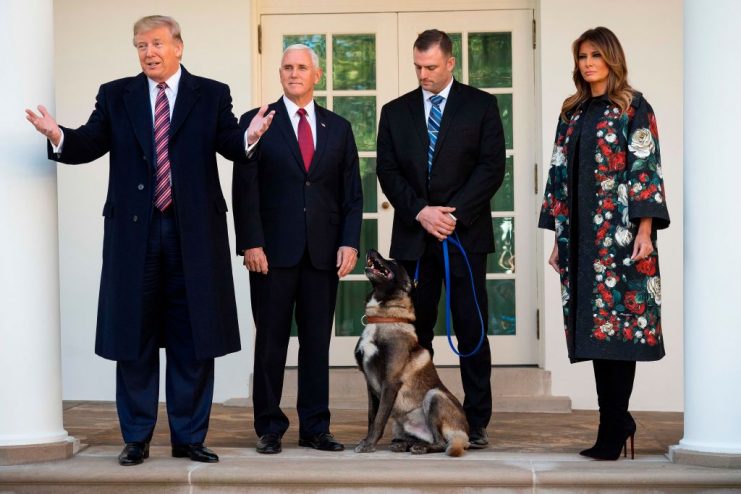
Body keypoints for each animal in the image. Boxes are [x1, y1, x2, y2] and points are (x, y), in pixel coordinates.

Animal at [354, 249, 468, 458]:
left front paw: (368, 444)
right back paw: (404, 444)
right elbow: (372, 417)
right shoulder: (370, 384)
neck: (383, 319)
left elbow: (379, 419)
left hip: (434, 396)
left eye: (393, 262)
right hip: (400, 424)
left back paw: (421, 448)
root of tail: (464, 435)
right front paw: (366, 440)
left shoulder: (390, 382)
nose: (371, 250)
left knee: (440, 442)